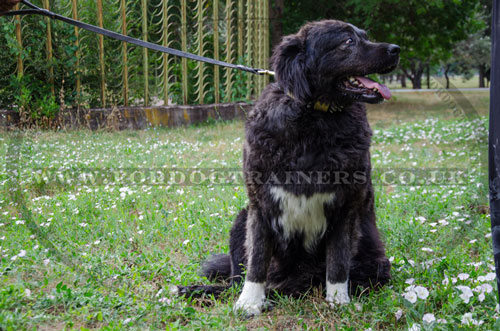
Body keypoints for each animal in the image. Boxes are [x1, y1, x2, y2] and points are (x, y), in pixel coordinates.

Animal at [175, 20, 398, 316]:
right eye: (348, 41)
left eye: (365, 36)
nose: (396, 49)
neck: (314, 118)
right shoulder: (260, 206)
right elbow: (257, 259)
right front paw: (249, 302)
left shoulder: (346, 207)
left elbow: (338, 260)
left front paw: (338, 301)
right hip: (240, 220)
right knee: (235, 281)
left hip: (374, 261)